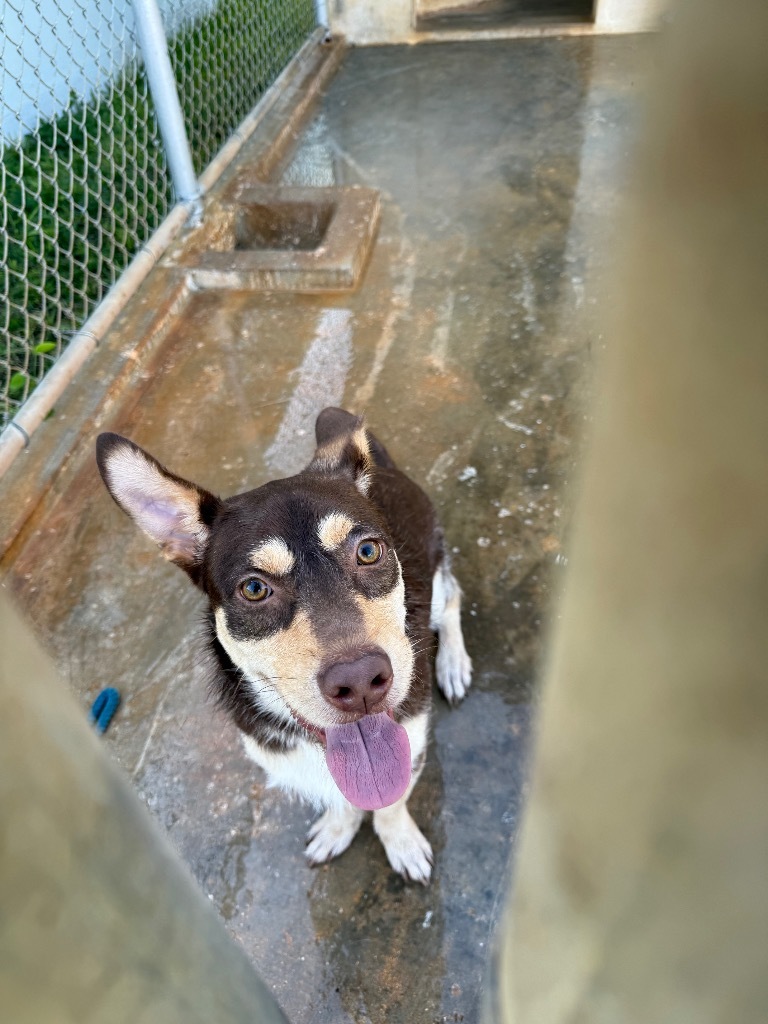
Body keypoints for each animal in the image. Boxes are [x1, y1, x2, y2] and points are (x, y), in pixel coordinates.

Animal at [94, 405, 468, 880]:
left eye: (368, 551)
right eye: (254, 589)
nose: (361, 682)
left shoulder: (412, 736)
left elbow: (391, 803)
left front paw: (400, 841)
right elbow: (345, 799)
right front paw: (339, 826)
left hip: (434, 580)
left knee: (453, 598)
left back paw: (453, 665)